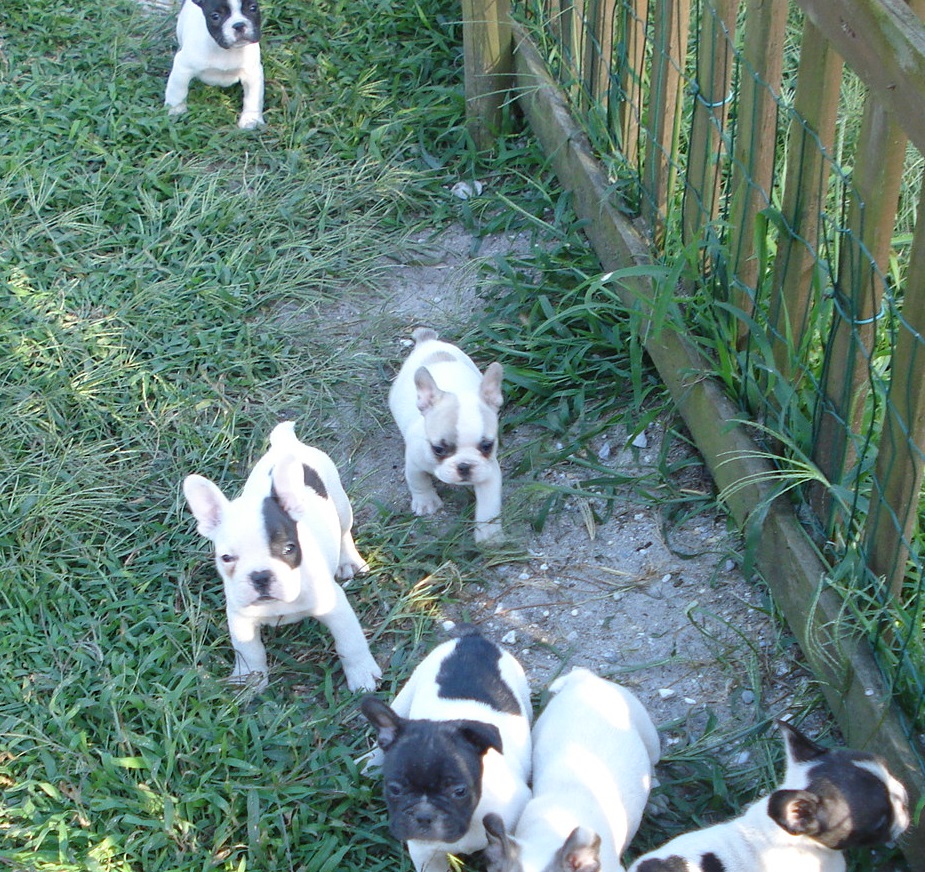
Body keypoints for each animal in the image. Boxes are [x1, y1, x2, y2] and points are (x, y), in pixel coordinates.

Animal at [164, 0, 265, 129]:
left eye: (253, 8)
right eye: (215, 16)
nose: (239, 25)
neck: (225, 50)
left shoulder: (252, 73)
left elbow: (253, 98)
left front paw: (251, 119)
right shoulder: (183, 68)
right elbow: (177, 92)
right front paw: (176, 112)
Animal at [182, 421, 381, 692]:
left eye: (289, 549)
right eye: (226, 558)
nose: (260, 576)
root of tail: (287, 443)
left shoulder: (335, 607)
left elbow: (350, 643)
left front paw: (361, 674)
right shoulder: (240, 617)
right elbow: (249, 650)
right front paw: (250, 679)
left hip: (340, 504)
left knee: (343, 530)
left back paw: (348, 560)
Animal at [360, 627, 533, 872]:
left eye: (459, 791)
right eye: (394, 789)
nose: (424, 815)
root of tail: (472, 639)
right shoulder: (426, 854)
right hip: (409, 688)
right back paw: (369, 760)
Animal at [389, 328, 504, 544]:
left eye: (487, 446)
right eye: (438, 449)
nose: (464, 466)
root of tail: (429, 343)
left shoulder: (488, 471)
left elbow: (489, 506)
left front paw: (489, 535)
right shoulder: (415, 462)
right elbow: (418, 481)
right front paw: (426, 501)